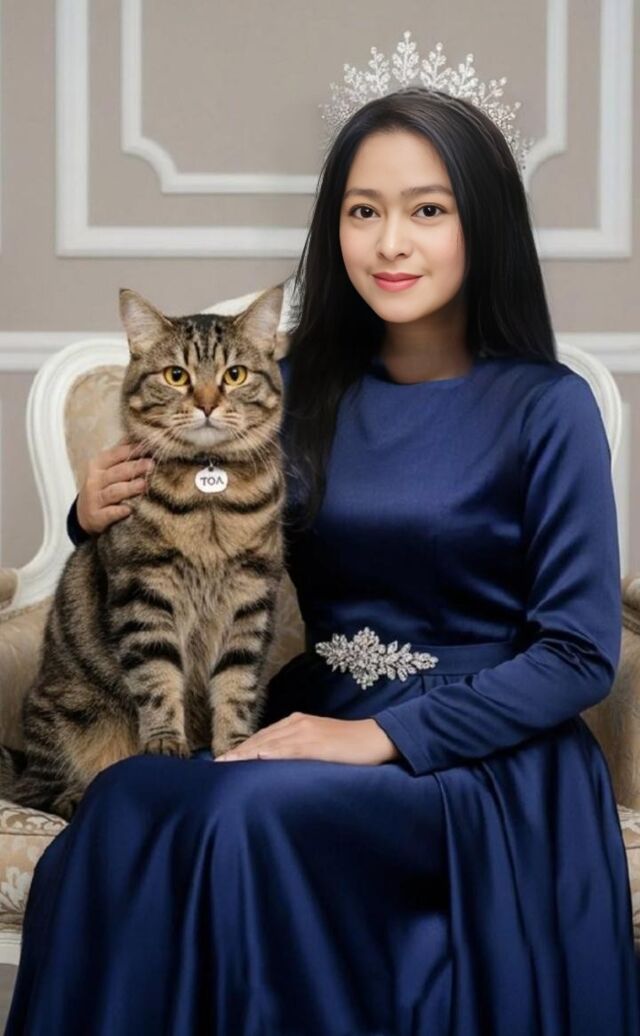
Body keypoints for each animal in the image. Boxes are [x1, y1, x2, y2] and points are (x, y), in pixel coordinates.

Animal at [0, 283, 288, 820]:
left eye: (234, 375)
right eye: (177, 376)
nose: (207, 404)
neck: (208, 499)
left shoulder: (251, 596)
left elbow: (235, 684)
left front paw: (236, 746)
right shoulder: (144, 592)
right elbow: (157, 678)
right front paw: (165, 743)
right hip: (69, 714)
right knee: (39, 792)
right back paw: (75, 794)